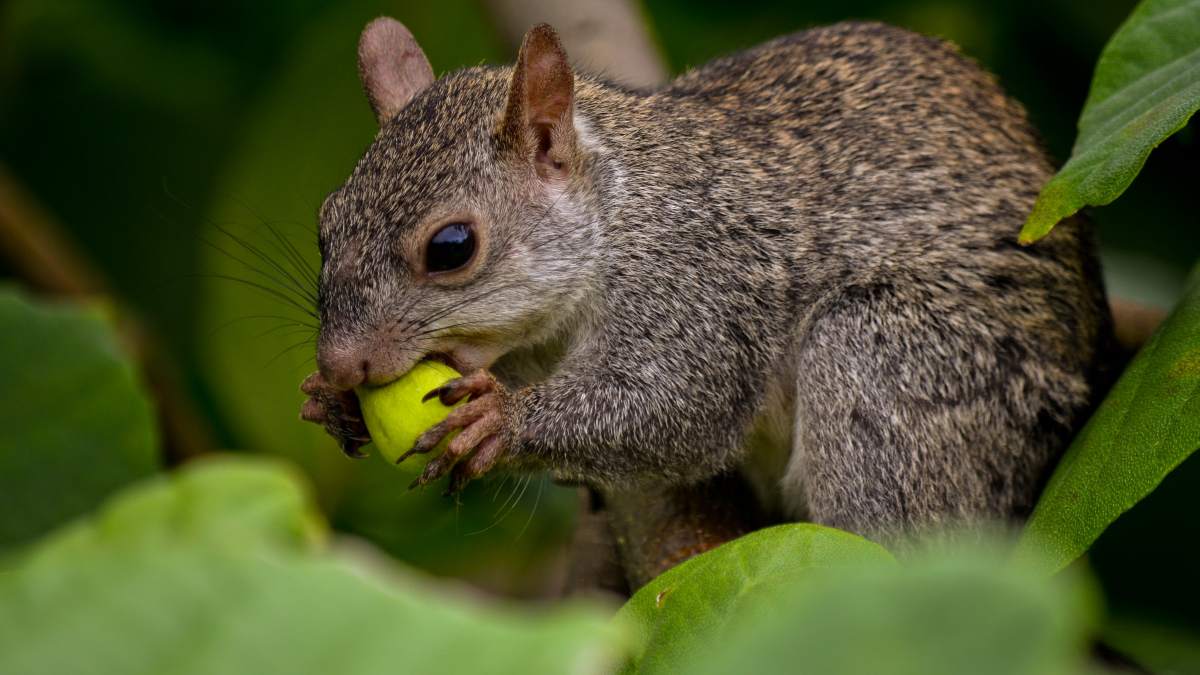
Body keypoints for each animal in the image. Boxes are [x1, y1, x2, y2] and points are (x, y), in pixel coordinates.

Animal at [300, 17, 1113, 546]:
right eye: (325, 223)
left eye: (451, 247)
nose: (342, 363)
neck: (620, 211)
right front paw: (328, 403)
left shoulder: (702, 281)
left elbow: (681, 404)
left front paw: (502, 421)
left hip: (897, 365)